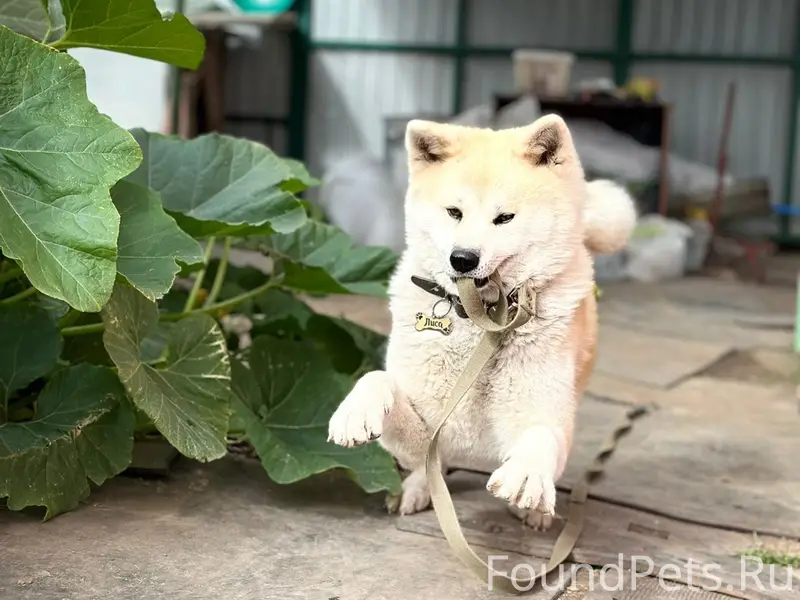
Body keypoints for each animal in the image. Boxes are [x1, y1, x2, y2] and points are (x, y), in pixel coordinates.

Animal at [327, 114, 636, 528]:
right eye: (453, 212)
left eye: (504, 218)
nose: (463, 259)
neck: (480, 322)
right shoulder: (423, 433)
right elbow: (378, 380)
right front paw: (354, 412)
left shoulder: (543, 417)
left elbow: (541, 438)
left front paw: (527, 479)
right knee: (432, 468)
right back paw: (417, 489)